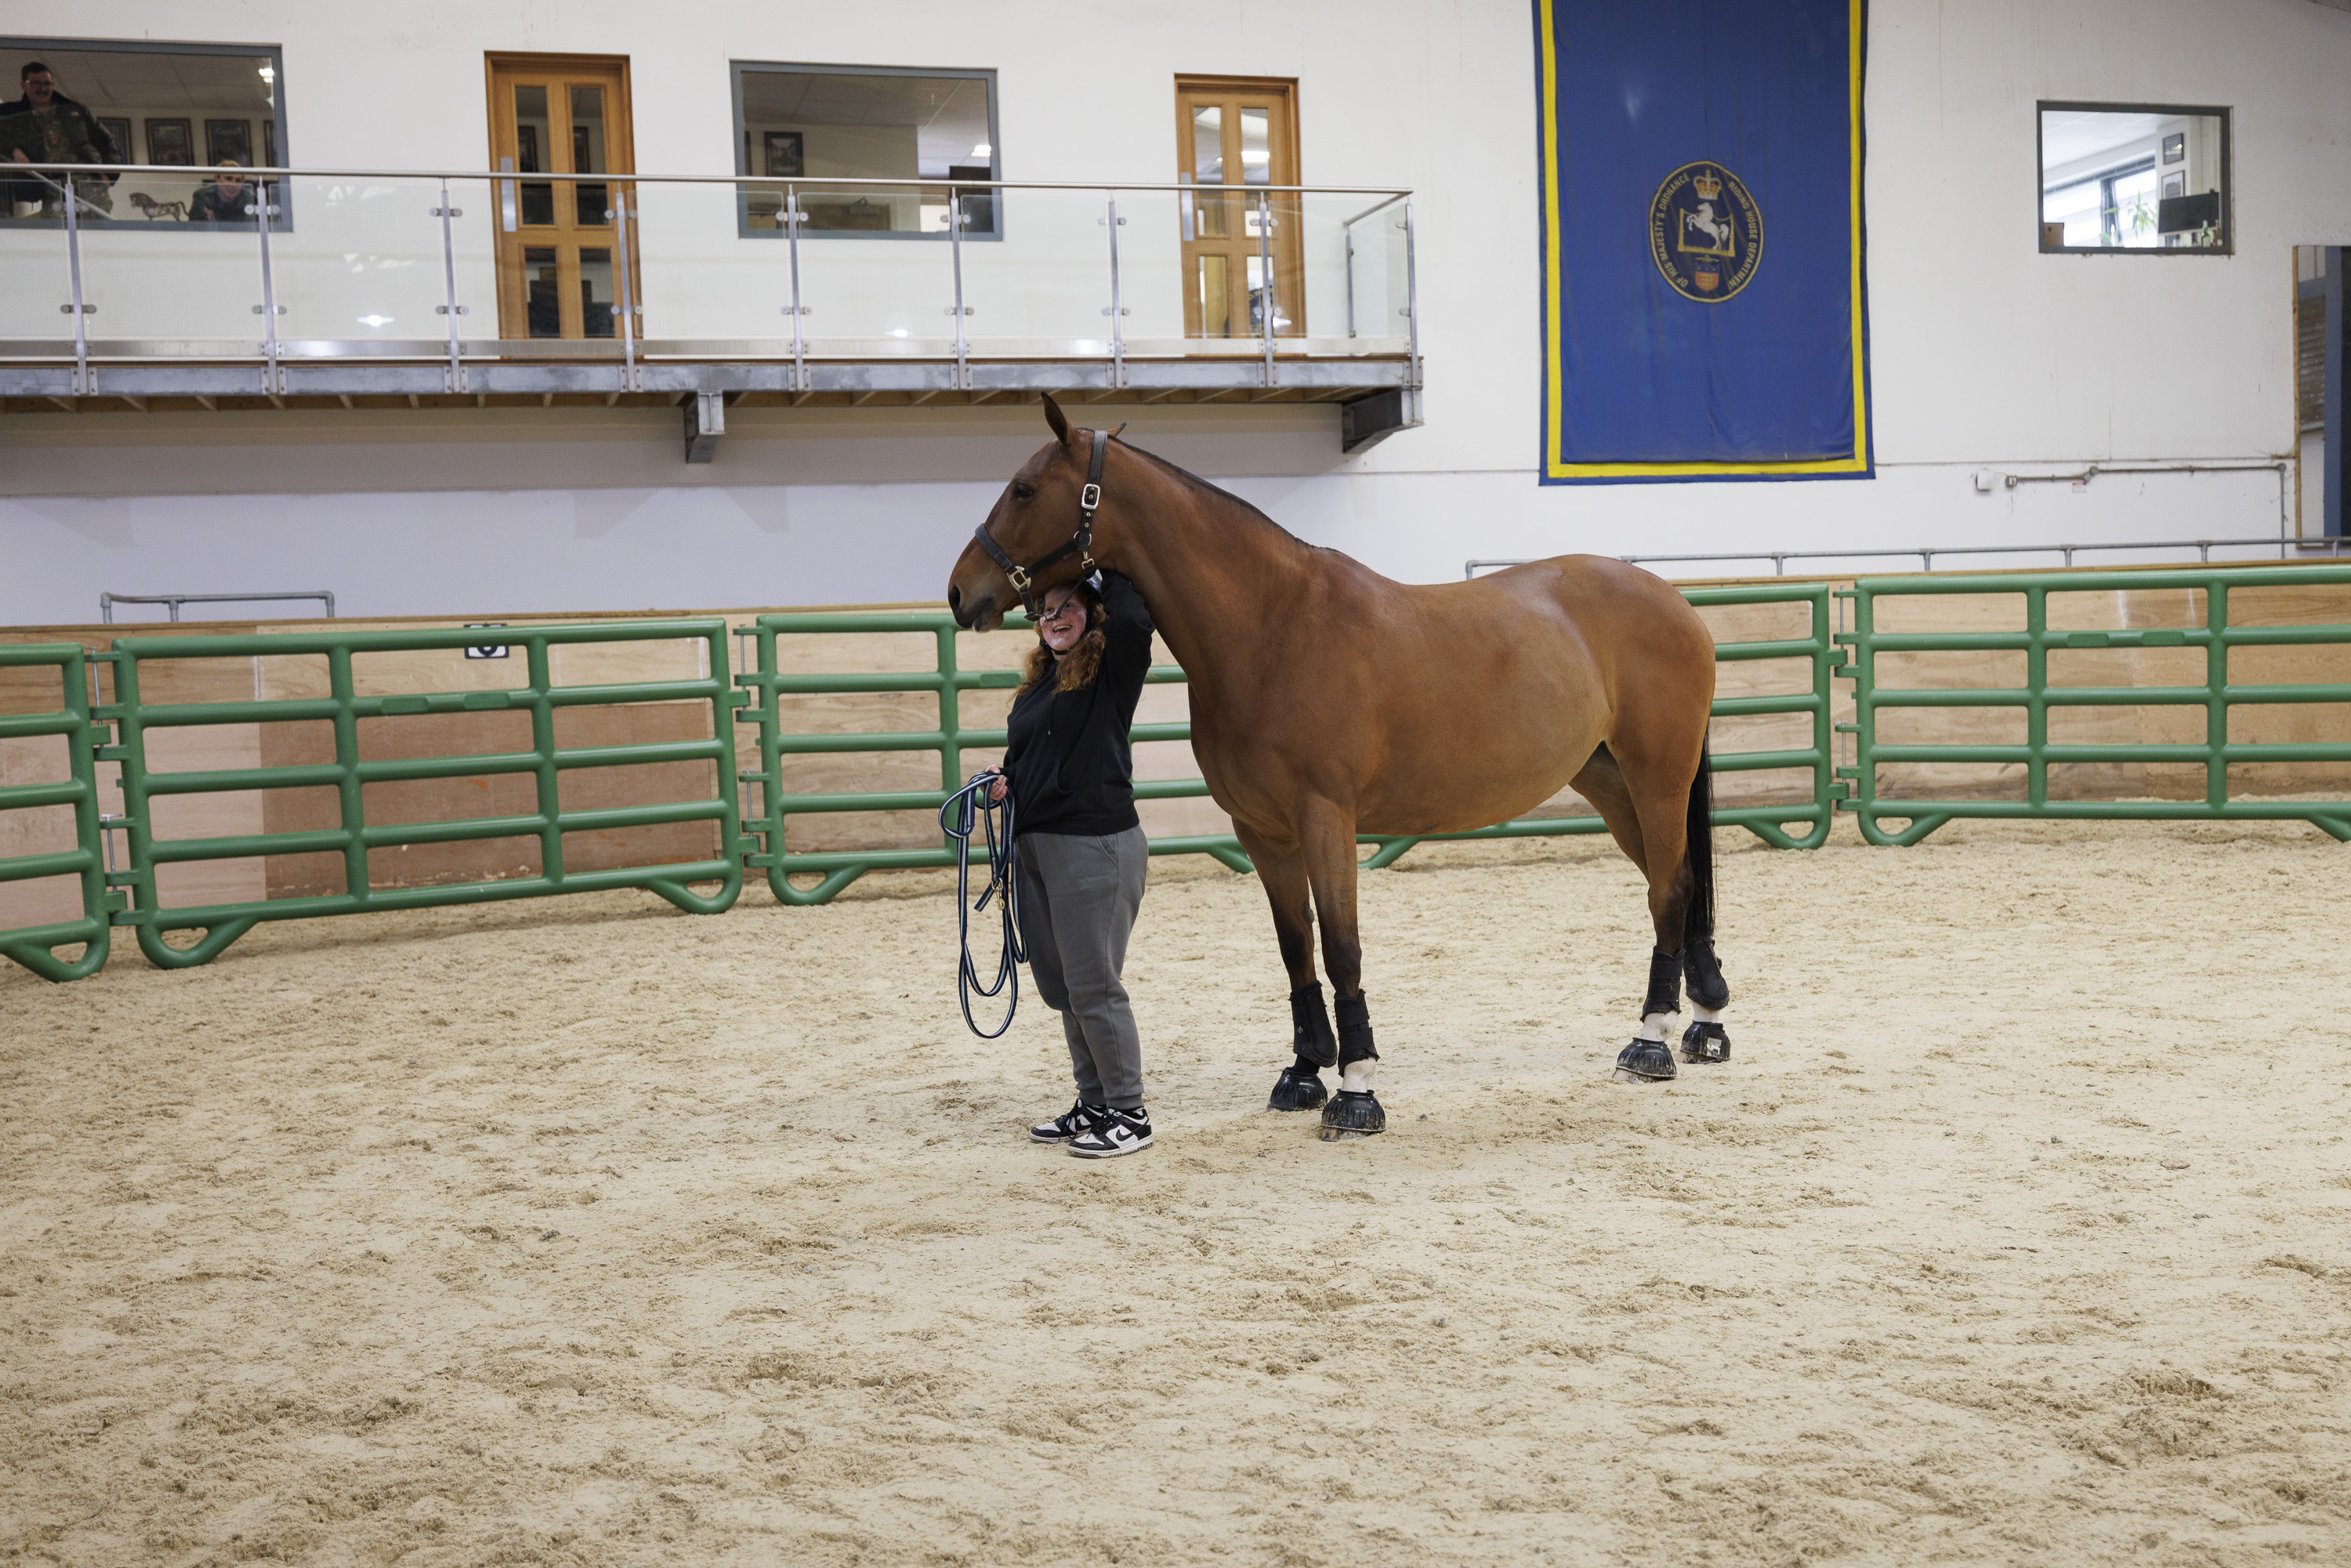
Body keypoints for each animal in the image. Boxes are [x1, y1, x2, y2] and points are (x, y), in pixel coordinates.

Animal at [946, 395, 1731, 1139]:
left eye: (1024, 489)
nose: (959, 591)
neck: (1272, 628)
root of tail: (1677, 603)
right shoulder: (1262, 831)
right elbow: (1297, 946)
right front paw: (1303, 1071)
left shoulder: (1326, 819)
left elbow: (1343, 947)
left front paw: (1355, 1088)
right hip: (1609, 783)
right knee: (1681, 883)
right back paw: (1705, 1023)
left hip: (1657, 778)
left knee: (1668, 888)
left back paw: (1651, 1040)